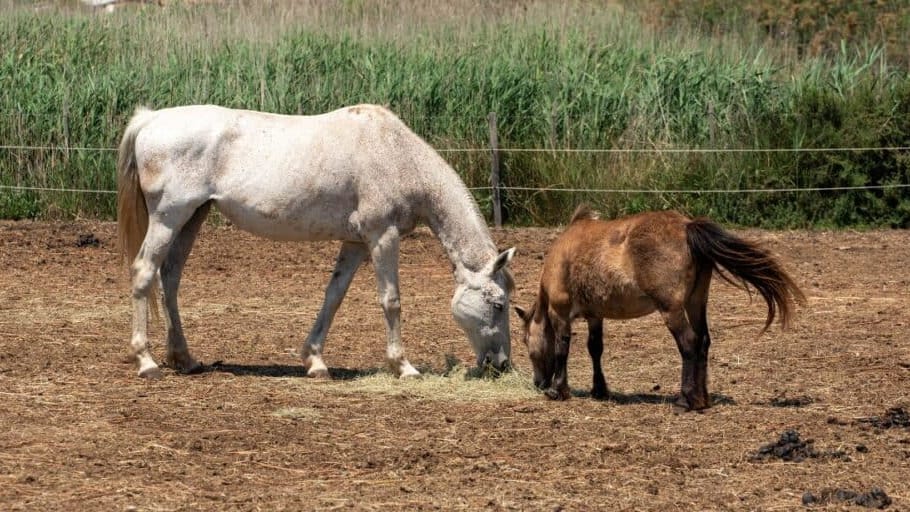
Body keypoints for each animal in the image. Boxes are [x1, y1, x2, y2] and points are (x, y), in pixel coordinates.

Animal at [117, 104, 515, 380]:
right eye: (498, 304)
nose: (502, 364)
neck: (395, 153)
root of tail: (150, 120)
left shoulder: (356, 243)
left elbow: (333, 296)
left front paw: (315, 360)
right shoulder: (382, 237)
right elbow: (391, 301)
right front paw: (404, 366)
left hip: (191, 218)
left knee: (169, 278)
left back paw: (184, 358)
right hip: (169, 217)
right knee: (144, 272)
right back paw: (146, 362)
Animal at [514, 205, 805, 411]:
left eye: (527, 341)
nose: (538, 383)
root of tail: (687, 226)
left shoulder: (560, 311)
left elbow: (562, 347)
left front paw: (558, 389)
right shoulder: (596, 315)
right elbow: (595, 349)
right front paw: (599, 389)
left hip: (672, 309)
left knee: (689, 344)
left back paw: (685, 400)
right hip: (695, 302)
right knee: (703, 342)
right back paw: (702, 398)